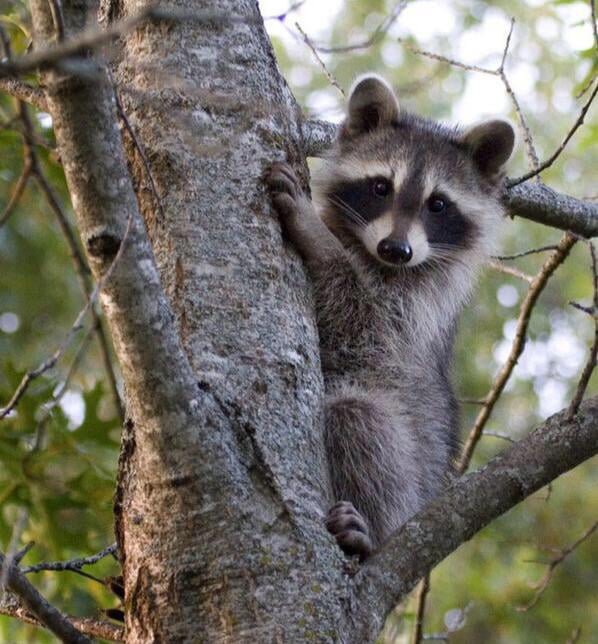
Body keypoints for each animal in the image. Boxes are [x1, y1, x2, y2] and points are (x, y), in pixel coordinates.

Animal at [266, 75, 515, 559]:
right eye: (381, 187)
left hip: (412, 476)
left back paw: (366, 533)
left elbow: (361, 322)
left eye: (438, 204)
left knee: (359, 419)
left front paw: (317, 238)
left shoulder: (417, 308)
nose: (396, 249)